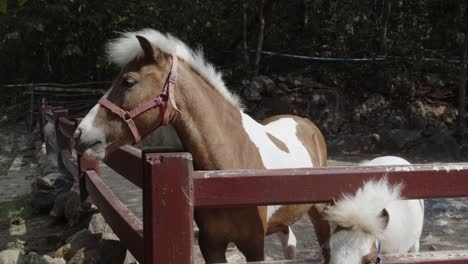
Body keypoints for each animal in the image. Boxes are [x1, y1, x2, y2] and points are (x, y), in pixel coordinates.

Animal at [74, 29, 330, 262]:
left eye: (129, 82)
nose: (80, 134)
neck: (228, 173)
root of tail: (304, 121)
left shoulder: (253, 246)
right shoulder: (212, 245)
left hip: (319, 211)